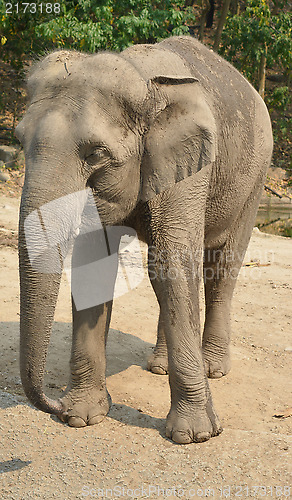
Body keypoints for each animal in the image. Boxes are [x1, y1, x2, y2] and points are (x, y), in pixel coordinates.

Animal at [16, 35, 272, 444]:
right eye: (18, 141)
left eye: (96, 153)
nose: (55, 403)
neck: (141, 80)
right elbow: (95, 266)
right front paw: (82, 417)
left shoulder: (189, 167)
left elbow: (175, 261)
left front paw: (195, 435)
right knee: (159, 273)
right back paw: (160, 366)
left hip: (254, 177)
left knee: (222, 265)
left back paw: (214, 369)